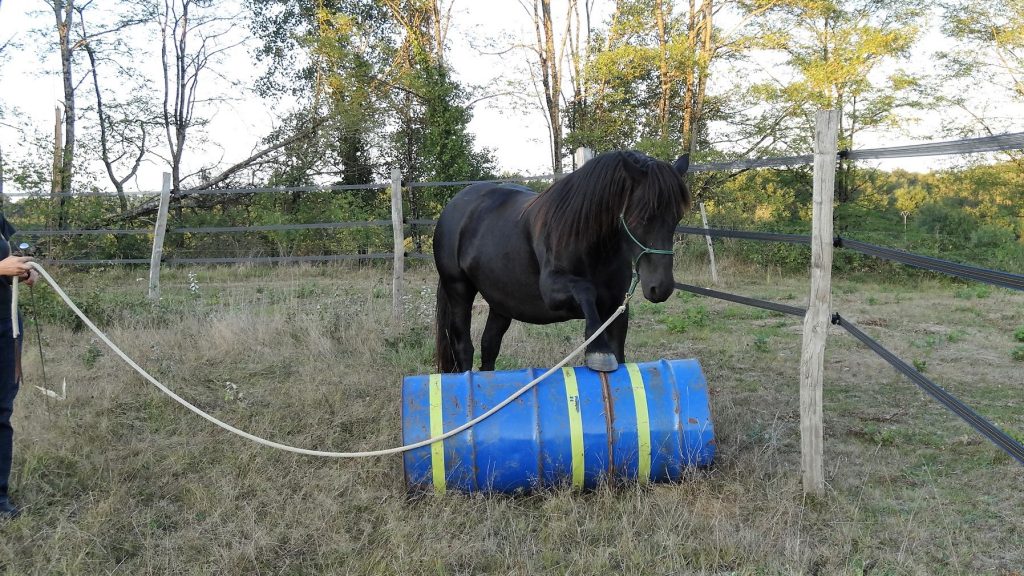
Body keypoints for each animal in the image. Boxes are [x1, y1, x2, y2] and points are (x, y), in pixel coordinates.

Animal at [433, 150, 692, 374]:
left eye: (677, 217)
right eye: (643, 216)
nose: (661, 287)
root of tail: (456, 204)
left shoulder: (616, 308)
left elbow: (620, 355)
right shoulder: (553, 291)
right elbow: (586, 291)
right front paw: (598, 351)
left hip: (501, 301)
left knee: (489, 345)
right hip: (459, 290)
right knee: (464, 347)